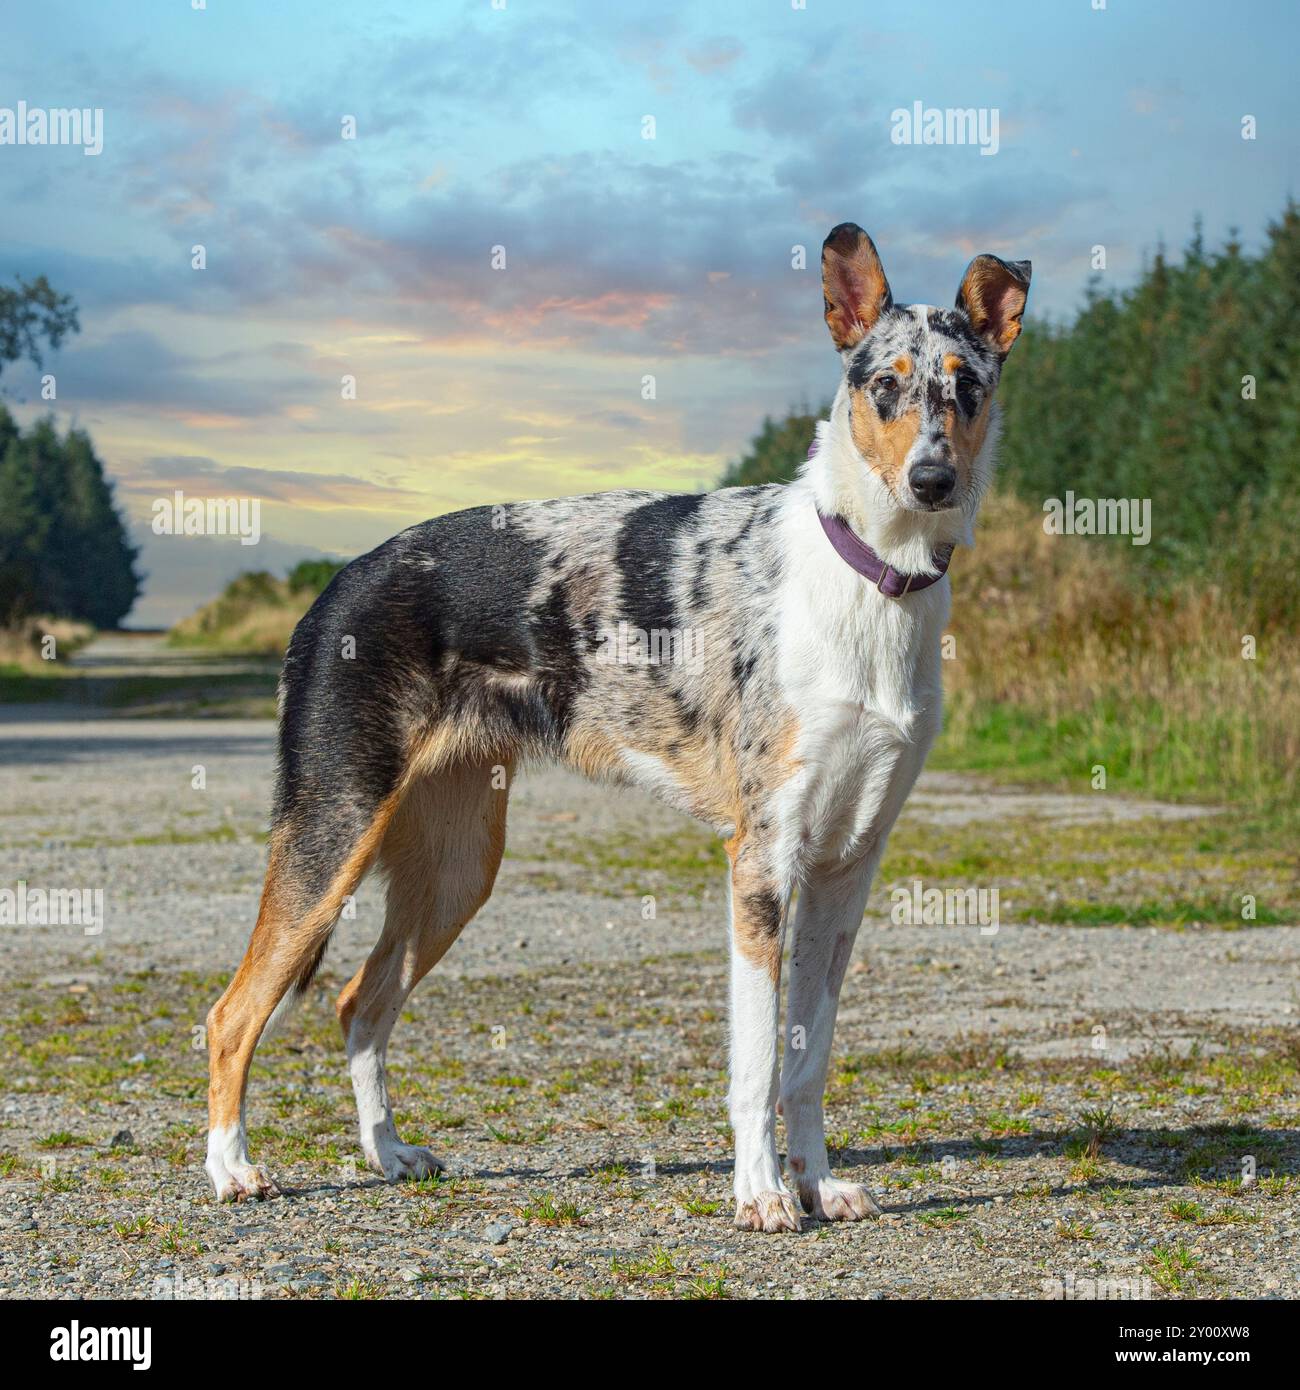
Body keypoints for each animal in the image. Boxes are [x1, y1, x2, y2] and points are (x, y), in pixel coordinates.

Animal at [205, 222, 1034, 1234]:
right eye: (885, 384)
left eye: (968, 386)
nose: (932, 478)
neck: (872, 576)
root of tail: (335, 585)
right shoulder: (762, 861)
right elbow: (757, 1061)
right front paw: (762, 1194)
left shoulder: (846, 867)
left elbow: (807, 1057)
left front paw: (815, 1182)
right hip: (334, 834)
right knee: (235, 1013)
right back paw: (232, 1170)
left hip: (455, 866)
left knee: (360, 1004)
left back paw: (387, 1153)